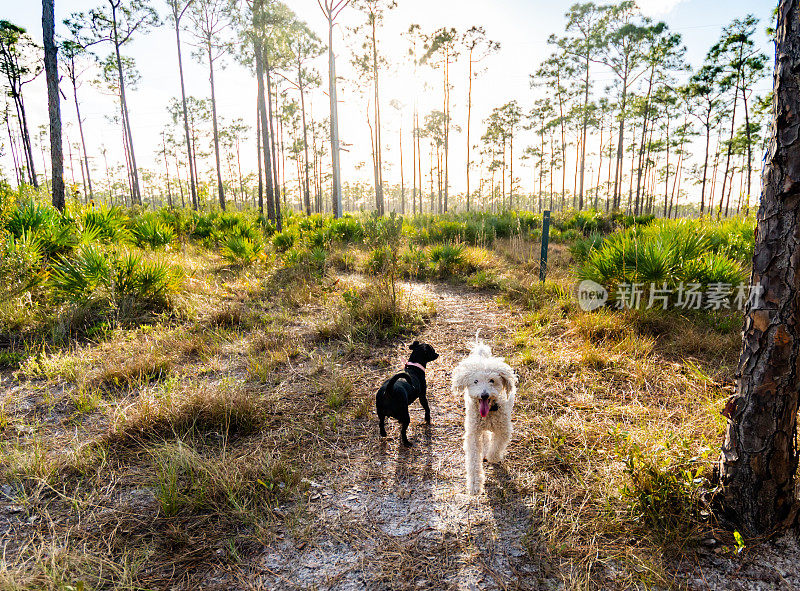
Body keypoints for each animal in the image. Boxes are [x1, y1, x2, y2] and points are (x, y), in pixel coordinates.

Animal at [450, 338, 520, 494]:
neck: (489, 413)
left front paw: (493, 457)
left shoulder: (504, 430)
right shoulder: (473, 433)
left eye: (492, 380)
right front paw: (474, 485)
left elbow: (497, 446)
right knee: (485, 436)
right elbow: (474, 459)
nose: (484, 395)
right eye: (475, 381)